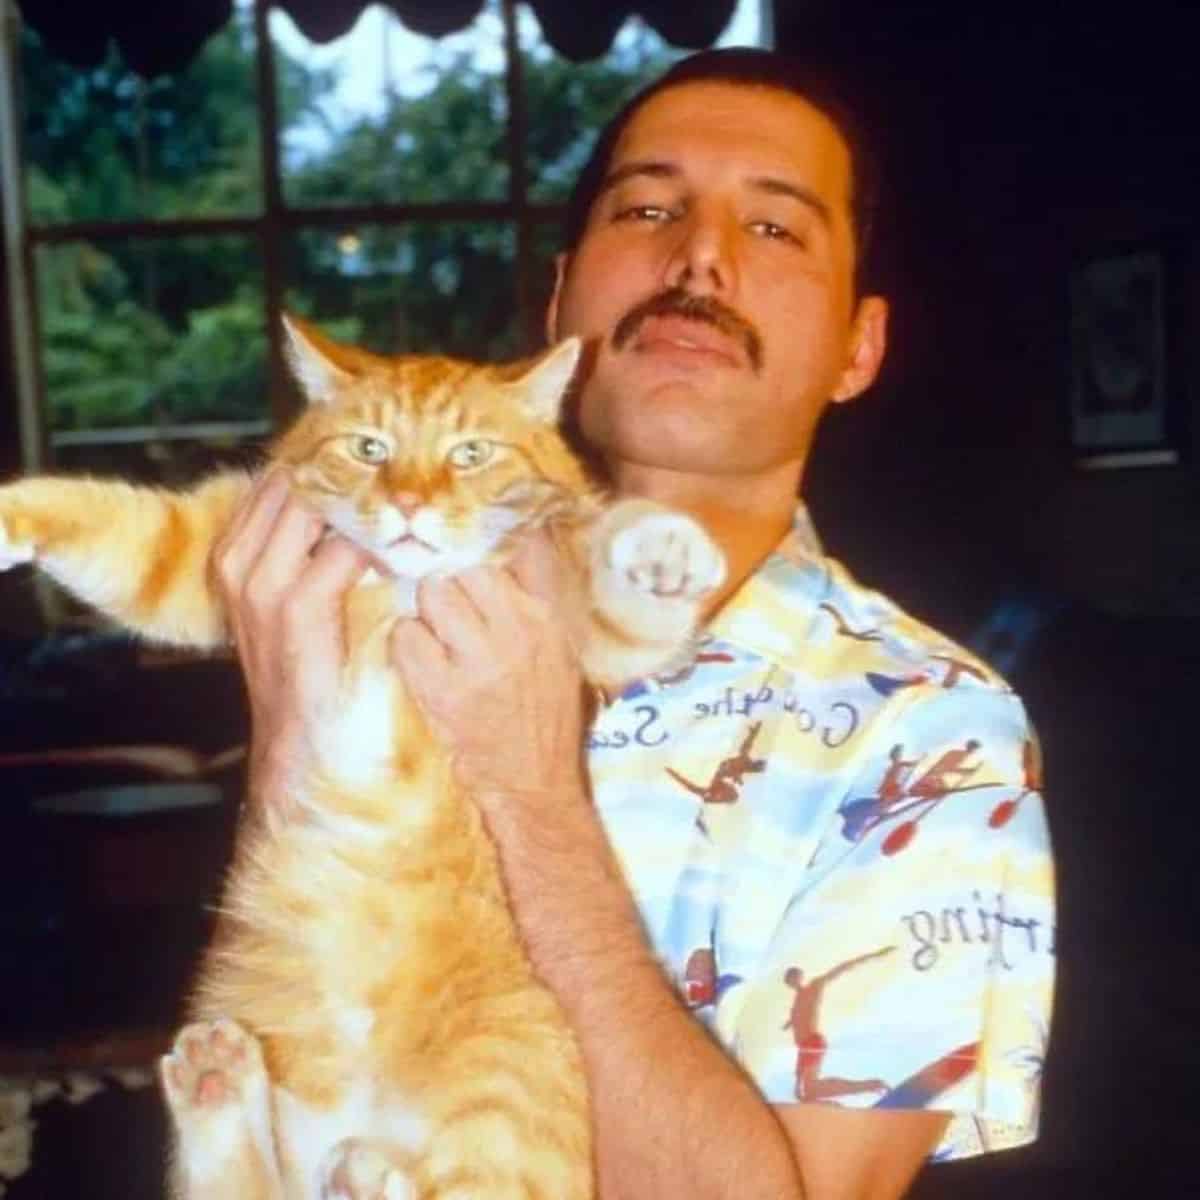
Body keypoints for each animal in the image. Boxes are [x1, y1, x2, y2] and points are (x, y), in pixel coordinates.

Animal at [0, 319, 720, 1200]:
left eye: (471, 453)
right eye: (371, 448)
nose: (409, 504)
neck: (403, 584)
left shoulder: (592, 629)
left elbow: (615, 565)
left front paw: (665, 547)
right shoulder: (201, 552)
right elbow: (115, 525)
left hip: (506, 1087)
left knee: (452, 1189)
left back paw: (352, 1160)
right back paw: (223, 1090)